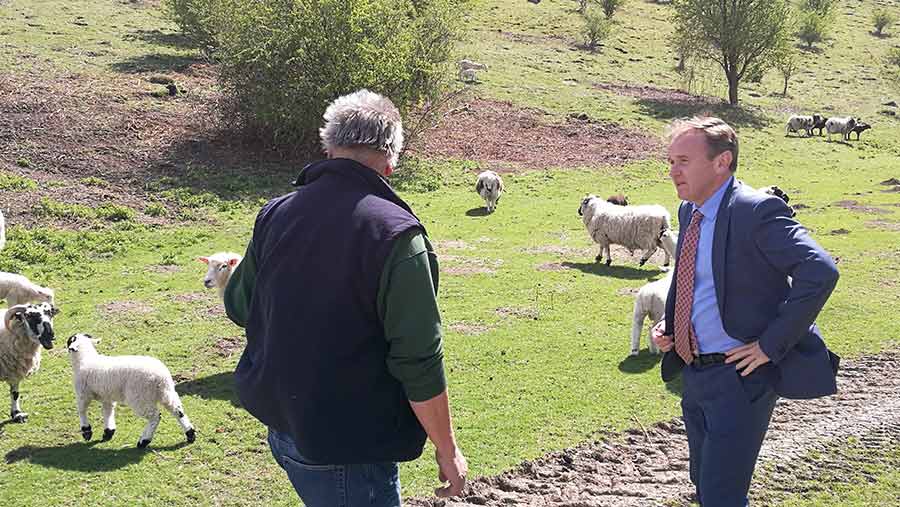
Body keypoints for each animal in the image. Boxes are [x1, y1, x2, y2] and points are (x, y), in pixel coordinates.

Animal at [65, 334, 195, 448]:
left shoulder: (83, 393)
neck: (85, 359)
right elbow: (108, 412)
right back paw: (190, 434)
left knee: (155, 417)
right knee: (178, 411)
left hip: (140, 397)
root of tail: (160, 377)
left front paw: (86, 431)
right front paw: (108, 432)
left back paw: (144, 441)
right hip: (166, 393)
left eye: (70, 340)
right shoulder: (107, 396)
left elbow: (82, 410)